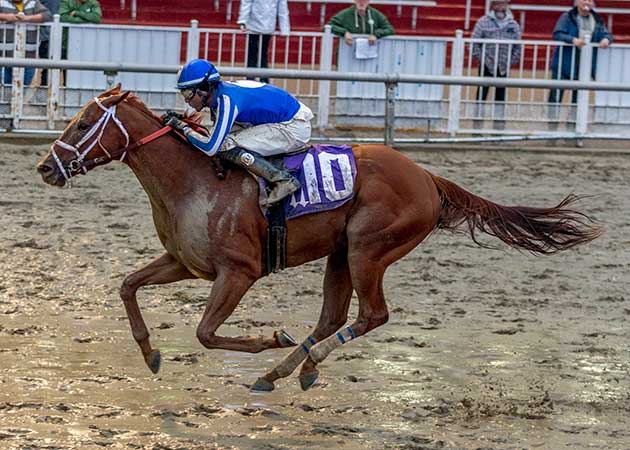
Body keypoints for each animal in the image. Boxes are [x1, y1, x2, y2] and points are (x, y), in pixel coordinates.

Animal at [37, 86, 604, 392]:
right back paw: (284, 372)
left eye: (84, 123)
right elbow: (128, 286)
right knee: (333, 316)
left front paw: (268, 338)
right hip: (341, 253)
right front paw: (149, 352)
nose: (45, 167)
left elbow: (205, 333)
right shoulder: (184, 262)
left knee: (372, 315)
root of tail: (426, 176)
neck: (193, 183)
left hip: (369, 248)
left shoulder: (238, 272)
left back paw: (300, 362)